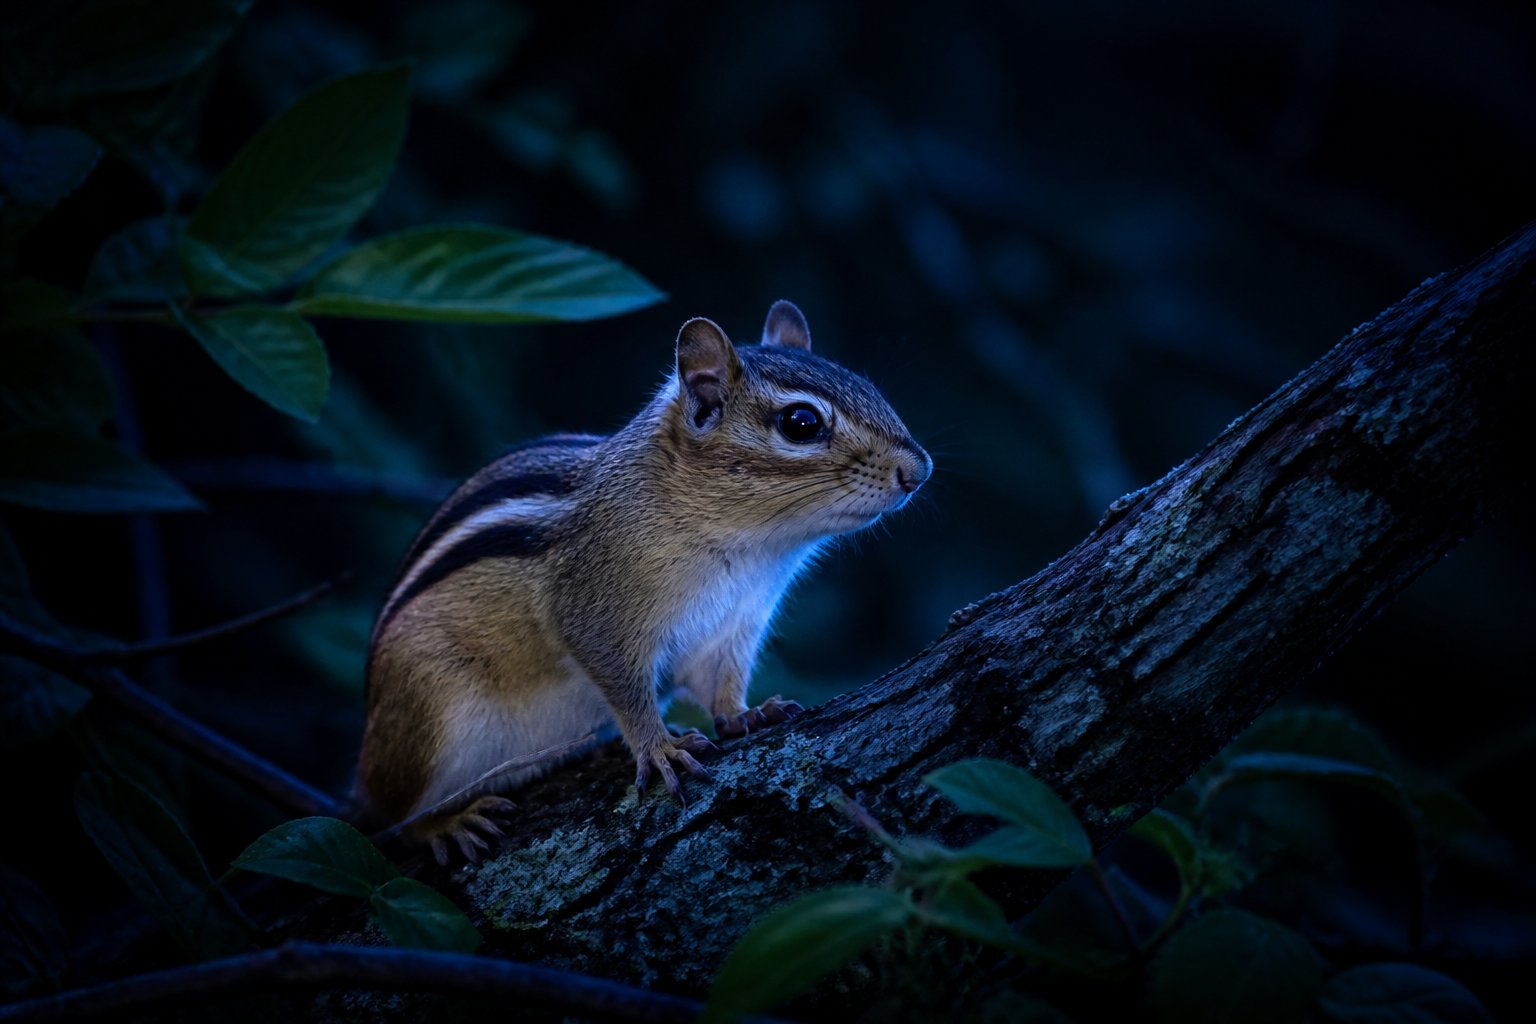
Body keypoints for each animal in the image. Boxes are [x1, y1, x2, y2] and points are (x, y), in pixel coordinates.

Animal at [356, 300, 931, 864]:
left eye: (870, 388)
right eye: (801, 422)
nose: (919, 469)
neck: (754, 551)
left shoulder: (735, 624)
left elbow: (721, 682)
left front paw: (747, 715)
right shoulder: (598, 614)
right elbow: (627, 689)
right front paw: (659, 748)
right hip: (431, 716)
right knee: (398, 814)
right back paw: (446, 823)